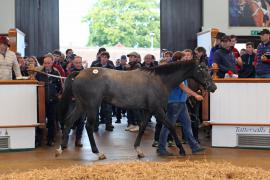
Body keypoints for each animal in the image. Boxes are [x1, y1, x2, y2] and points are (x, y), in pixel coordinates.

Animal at [55, 60, 217, 159]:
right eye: (202, 70)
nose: (213, 87)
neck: (160, 80)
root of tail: (79, 73)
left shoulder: (147, 110)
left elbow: (143, 126)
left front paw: (139, 151)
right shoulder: (157, 109)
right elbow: (170, 125)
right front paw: (182, 150)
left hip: (81, 105)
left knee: (69, 121)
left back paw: (60, 149)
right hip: (92, 106)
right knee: (88, 126)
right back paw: (98, 153)